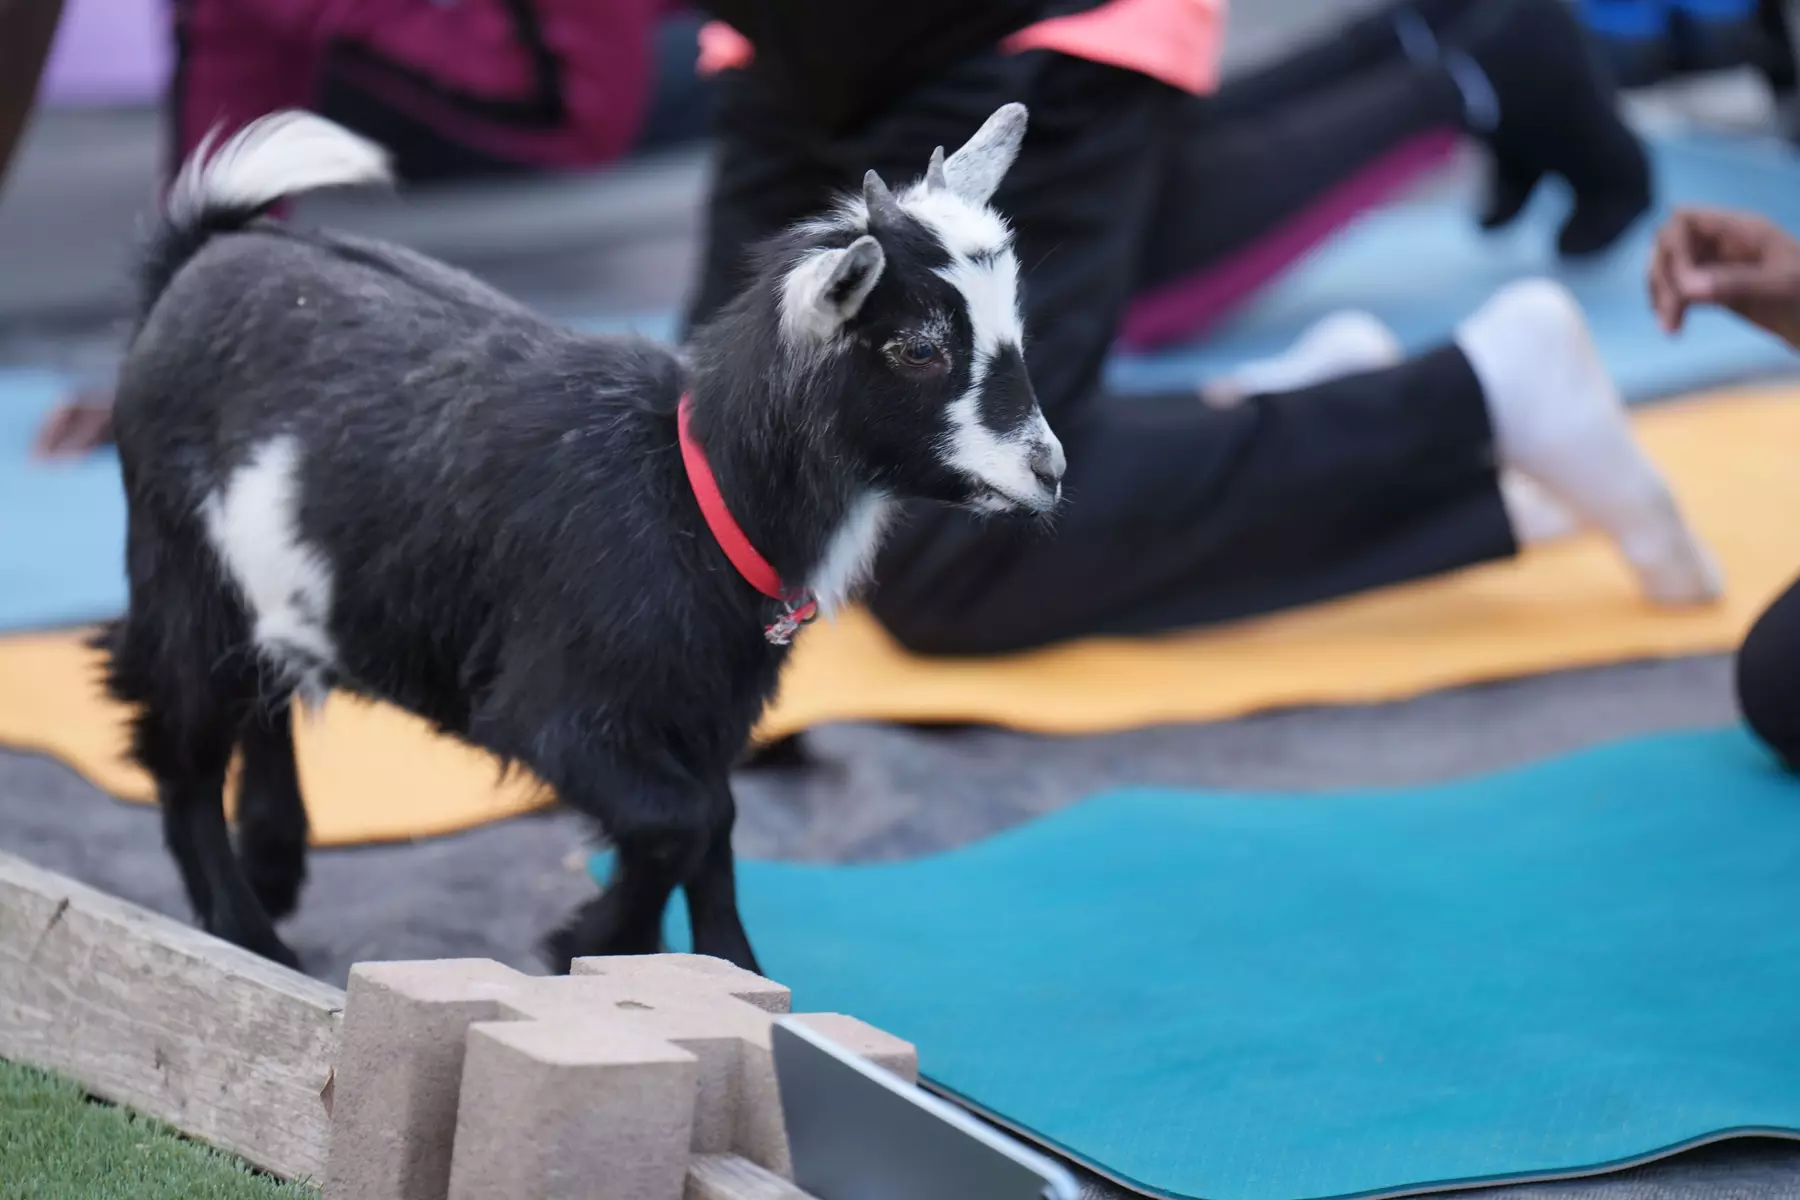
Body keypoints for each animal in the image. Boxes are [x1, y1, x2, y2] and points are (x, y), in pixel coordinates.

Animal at [101, 106, 1064, 974]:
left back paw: (275, 865)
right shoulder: (556, 710)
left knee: (261, 694)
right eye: (917, 349)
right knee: (180, 750)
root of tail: (199, 254)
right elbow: (679, 821)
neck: (689, 492)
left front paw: (719, 968)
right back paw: (248, 934)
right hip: (176, 558)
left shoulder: (707, 707)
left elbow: (714, 823)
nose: (1049, 470)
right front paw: (593, 941)